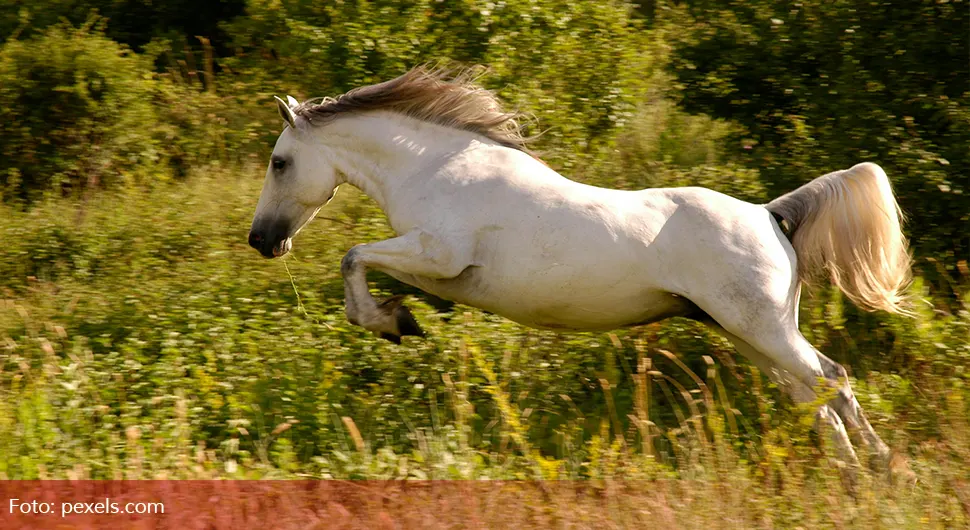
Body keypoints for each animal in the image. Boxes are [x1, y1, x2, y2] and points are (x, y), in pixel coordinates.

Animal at [248, 66, 908, 466]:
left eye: (280, 162)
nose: (261, 240)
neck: (437, 168)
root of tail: (770, 214)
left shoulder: (439, 254)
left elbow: (354, 256)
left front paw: (389, 321)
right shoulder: (434, 268)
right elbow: (368, 266)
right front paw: (398, 318)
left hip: (762, 329)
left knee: (833, 381)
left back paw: (882, 471)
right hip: (748, 334)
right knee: (812, 394)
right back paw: (851, 475)